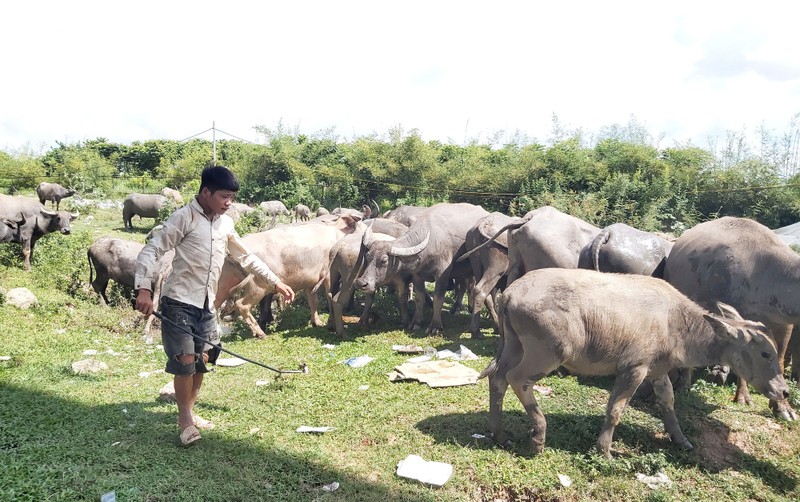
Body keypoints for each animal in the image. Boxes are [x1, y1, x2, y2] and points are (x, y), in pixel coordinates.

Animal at [214, 213, 360, 338]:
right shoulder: (328, 275)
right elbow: (330, 297)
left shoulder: (311, 281)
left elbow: (313, 301)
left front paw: (317, 322)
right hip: (257, 286)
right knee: (241, 305)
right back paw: (260, 333)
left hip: (225, 281)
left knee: (215, 303)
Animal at [354, 202, 488, 336]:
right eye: (368, 256)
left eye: (384, 260)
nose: (361, 283)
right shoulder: (417, 275)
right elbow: (419, 298)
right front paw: (416, 322)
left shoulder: (442, 275)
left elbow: (438, 299)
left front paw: (435, 325)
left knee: (467, 286)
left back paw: (461, 308)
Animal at [484, 268, 792, 456]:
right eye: (765, 353)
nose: (784, 390)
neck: (676, 323)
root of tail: (510, 292)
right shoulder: (634, 368)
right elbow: (615, 409)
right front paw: (604, 449)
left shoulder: (657, 370)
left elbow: (668, 402)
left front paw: (681, 440)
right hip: (546, 353)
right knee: (518, 379)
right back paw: (538, 436)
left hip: (513, 346)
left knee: (497, 378)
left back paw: (498, 433)